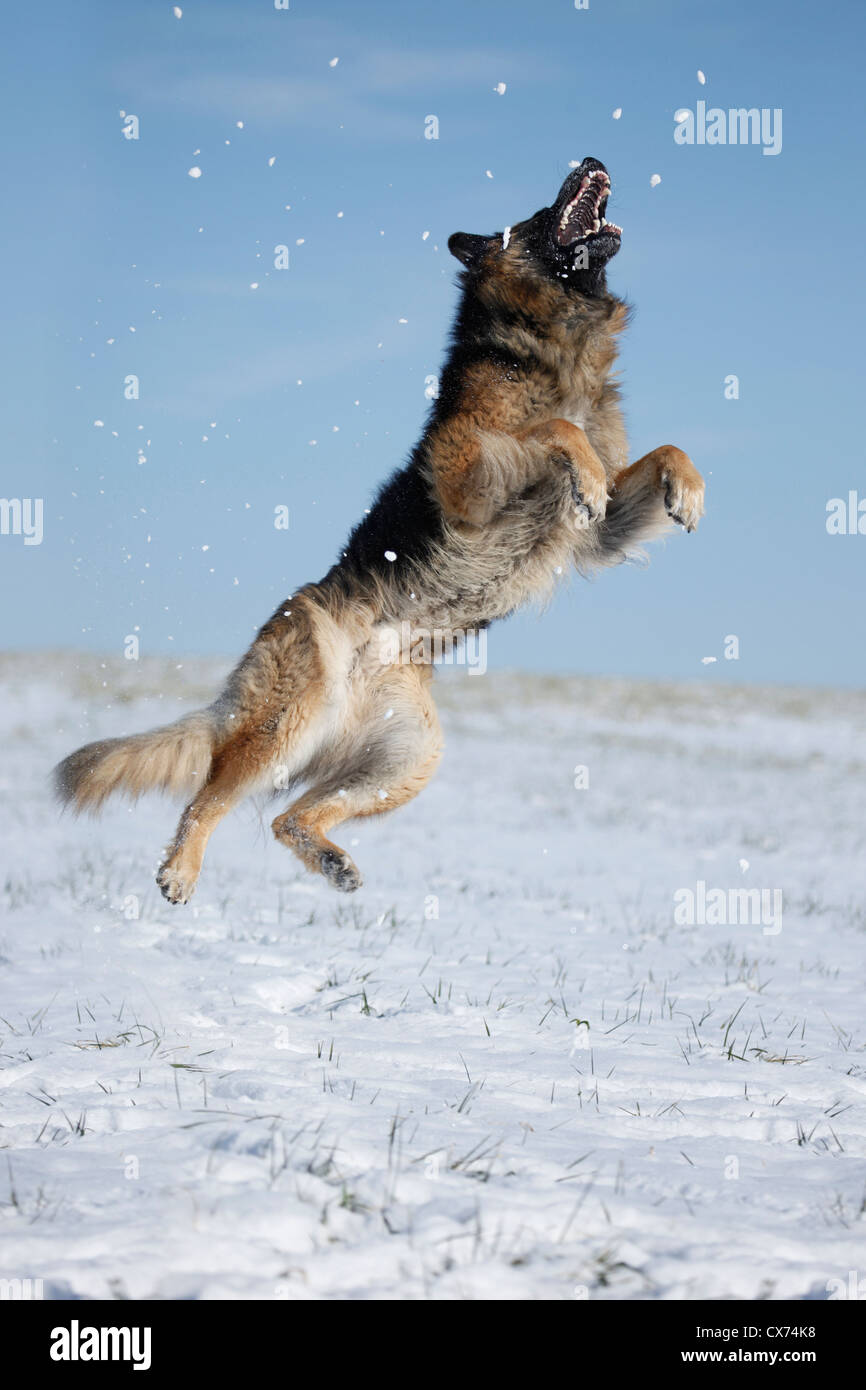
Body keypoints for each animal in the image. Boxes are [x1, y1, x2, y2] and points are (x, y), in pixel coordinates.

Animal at [52, 159, 706, 900]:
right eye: (541, 213)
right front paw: (587, 468)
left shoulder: (593, 538)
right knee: (210, 795)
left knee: (288, 816)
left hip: (410, 756)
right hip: (289, 720)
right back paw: (179, 871)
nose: (590, 161)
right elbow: (556, 430)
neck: (551, 344)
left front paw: (687, 490)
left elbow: (660, 454)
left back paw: (329, 858)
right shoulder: (467, 472)